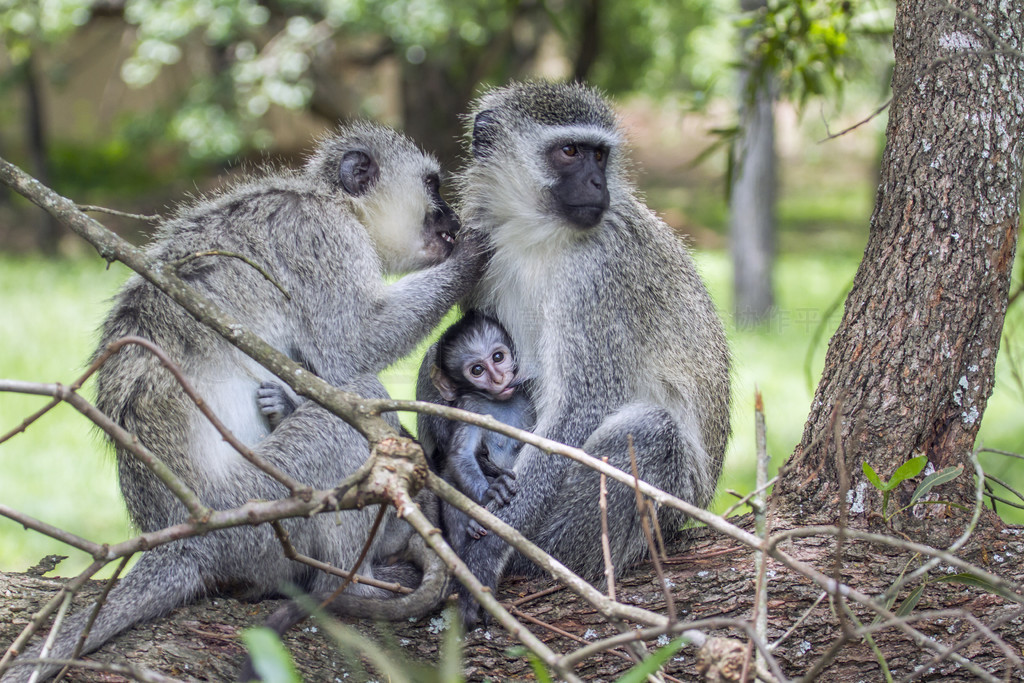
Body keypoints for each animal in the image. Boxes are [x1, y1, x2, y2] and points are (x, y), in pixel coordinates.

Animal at [1, 124, 483, 683]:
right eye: (433, 186)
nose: (452, 219)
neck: (334, 202)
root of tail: (185, 540)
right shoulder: (317, 237)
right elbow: (353, 346)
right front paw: (473, 253)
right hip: (262, 511)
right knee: (346, 420)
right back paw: (354, 582)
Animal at [444, 80, 733, 626]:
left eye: (600, 155)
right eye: (570, 152)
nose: (598, 184)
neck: (535, 234)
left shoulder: (597, 277)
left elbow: (579, 406)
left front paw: (489, 549)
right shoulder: (480, 247)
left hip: (670, 510)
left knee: (651, 431)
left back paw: (536, 558)